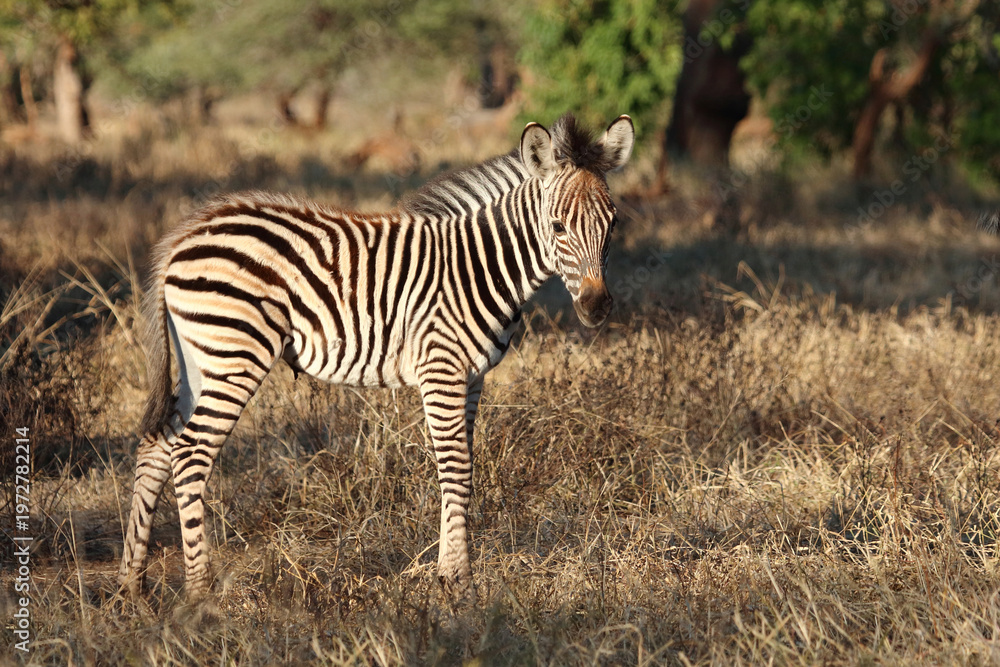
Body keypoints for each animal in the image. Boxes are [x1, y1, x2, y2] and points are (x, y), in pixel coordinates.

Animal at [118, 112, 634, 601]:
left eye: (612, 223)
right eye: (558, 226)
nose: (596, 307)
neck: (479, 266)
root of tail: (184, 236)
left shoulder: (472, 377)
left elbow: (464, 469)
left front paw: (450, 574)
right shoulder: (440, 368)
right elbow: (455, 468)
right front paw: (458, 582)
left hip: (200, 359)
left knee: (158, 446)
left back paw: (132, 588)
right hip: (235, 354)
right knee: (190, 452)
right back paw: (200, 592)